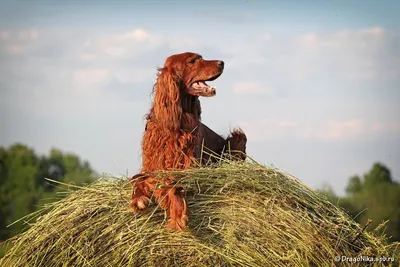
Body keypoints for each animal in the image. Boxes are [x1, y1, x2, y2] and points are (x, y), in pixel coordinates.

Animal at [130, 52, 247, 232]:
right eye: (192, 61)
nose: (222, 62)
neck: (178, 121)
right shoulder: (152, 164)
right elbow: (139, 177)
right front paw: (138, 198)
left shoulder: (190, 167)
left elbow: (174, 183)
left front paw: (178, 213)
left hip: (238, 138)